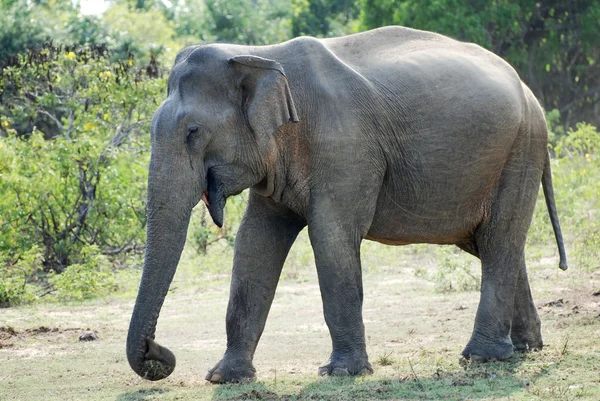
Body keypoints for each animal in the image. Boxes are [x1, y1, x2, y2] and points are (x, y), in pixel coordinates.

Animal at [125, 25, 568, 382]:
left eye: (193, 132)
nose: (161, 354)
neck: (259, 53)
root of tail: (530, 93)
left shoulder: (344, 146)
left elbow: (331, 236)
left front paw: (341, 373)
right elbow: (254, 242)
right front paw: (225, 378)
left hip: (520, 149)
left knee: (499, 239)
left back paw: (482, 357)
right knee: (493, 243)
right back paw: (525, 347)